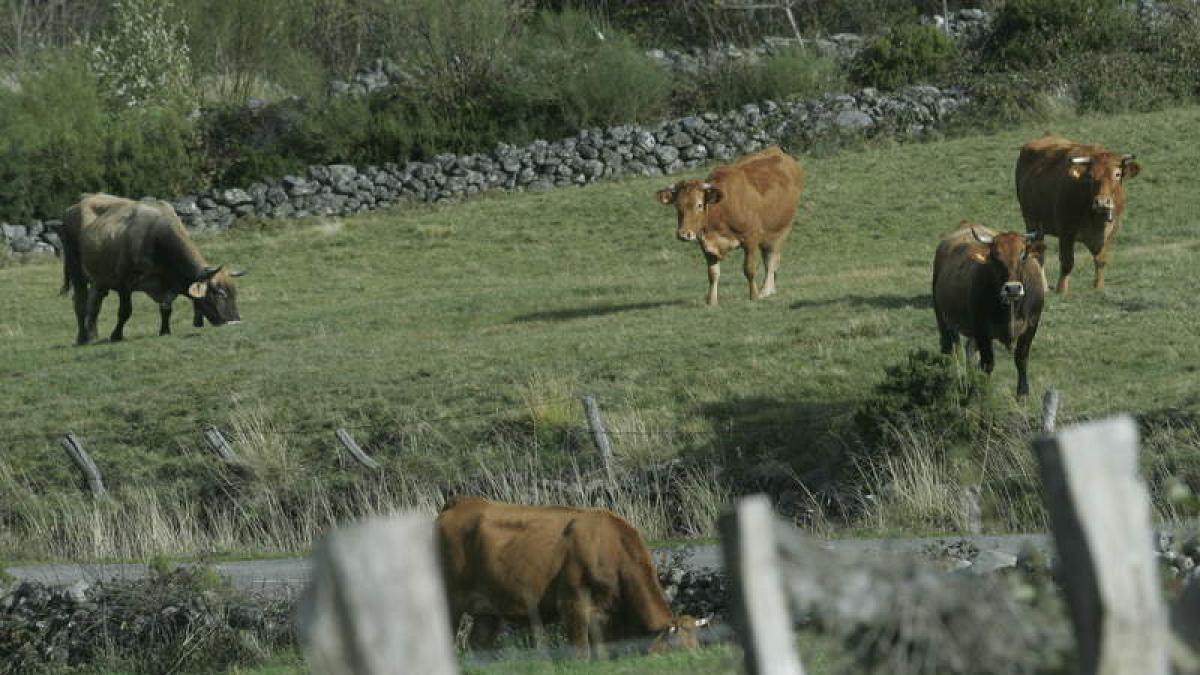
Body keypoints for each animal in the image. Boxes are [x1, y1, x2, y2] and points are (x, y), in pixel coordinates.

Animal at [60, 193, 245, 345]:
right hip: (75, 268)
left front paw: (165, 331)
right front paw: (116, 335)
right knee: (80, 301)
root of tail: (74, 206)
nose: (235, 322)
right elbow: (125, 311)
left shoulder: (168, 284)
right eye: (219, 293)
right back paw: (83, 337)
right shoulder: (124, 282)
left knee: (94, 304)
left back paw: (93, 335)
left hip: (99, 280)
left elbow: (166, 308)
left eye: (235, 293)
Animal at [435, 495, 706, 658]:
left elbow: (602, 652)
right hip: (449, 599)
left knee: (478, 643)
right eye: (680, 651)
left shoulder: (603, 614)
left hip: (487, 608)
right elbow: (581, 652)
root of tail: (463, 501)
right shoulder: (572, 604)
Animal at [655, 146, 803, 306]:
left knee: (772, 260)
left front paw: (754, 296)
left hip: (781, 229)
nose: (683, 234)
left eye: (699, 205)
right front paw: (712, 301)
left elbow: (749, 268)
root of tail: (777, 150)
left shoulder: (751, 237)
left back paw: (765, 290)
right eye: (677, 205)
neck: (721, 210)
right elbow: (713, 273)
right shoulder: (706, 245)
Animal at [932, 222, 1047, 397]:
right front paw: (982, 391)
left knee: (969, 350)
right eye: (996, 257)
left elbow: (1021, 358)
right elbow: (987, 363)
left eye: (1023, 255)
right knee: (950, 350)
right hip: (943, 318)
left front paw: (1022, 393)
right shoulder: (982, 328)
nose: (1013, 288)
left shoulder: (1031, 325)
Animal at [1015, 134, 1141, 295]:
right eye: (1091, 176)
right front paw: (1061, 290)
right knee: (1038, 256)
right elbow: (1067, 263)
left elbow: (1101, 261)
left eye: (1117, 174)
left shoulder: (1110, 233)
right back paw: (1043, 287)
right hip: (1032, 223)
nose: (1102, 202)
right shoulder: (1066, 232)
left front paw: (1098, 287)